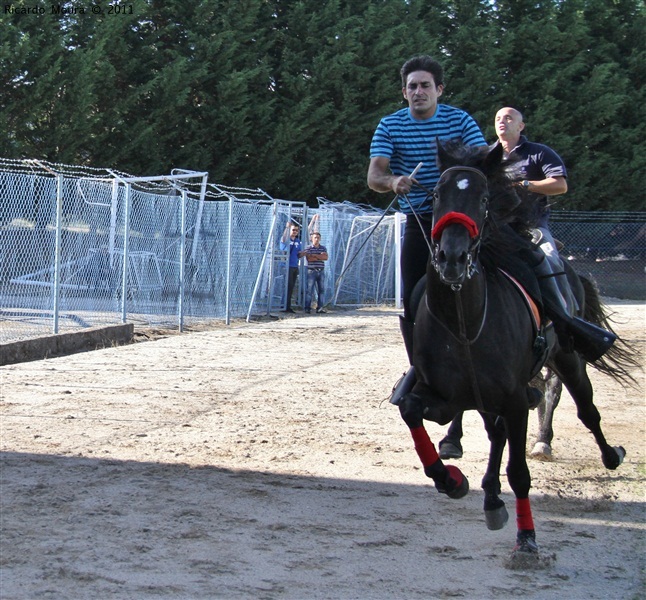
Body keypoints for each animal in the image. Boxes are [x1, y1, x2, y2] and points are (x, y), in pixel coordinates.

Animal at [398, 139, 636, 556]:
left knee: (585, 409)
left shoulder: (512, 397)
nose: (453, 257)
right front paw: (451, 480)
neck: (465, 324)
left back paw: (607, 454)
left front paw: (527, 539)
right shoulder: (444, 395)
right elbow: (412, 412)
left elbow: (519, 471)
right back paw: (491, 497)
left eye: (484, 198)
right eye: (437, 194)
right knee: (498, 435)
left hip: (567, 358)